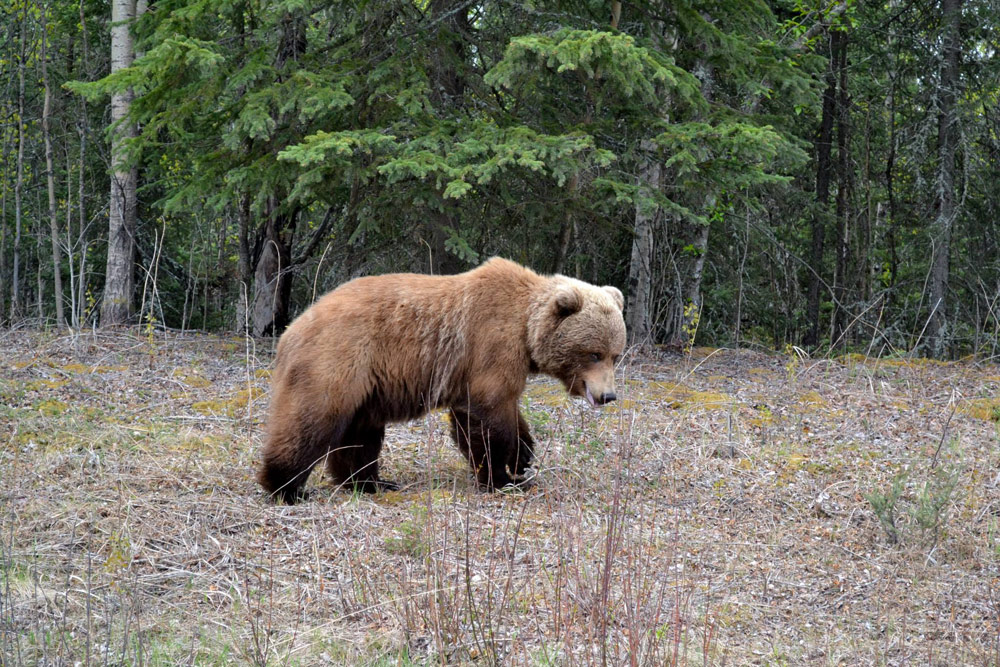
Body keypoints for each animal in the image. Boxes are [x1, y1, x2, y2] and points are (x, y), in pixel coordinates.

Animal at [258, 258, 624, 504]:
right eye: (593, 353)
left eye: (615, 355)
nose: (607, 395)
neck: (525, 330)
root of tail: (293, 328)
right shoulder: (489, 348)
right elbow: (489, 417)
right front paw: (501, 478)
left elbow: (497, 414)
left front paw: (522, 458)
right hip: (340, 359)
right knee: (312, 420)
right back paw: (286, 486)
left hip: (367, 385)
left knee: (359, 433)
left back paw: (370, 483)